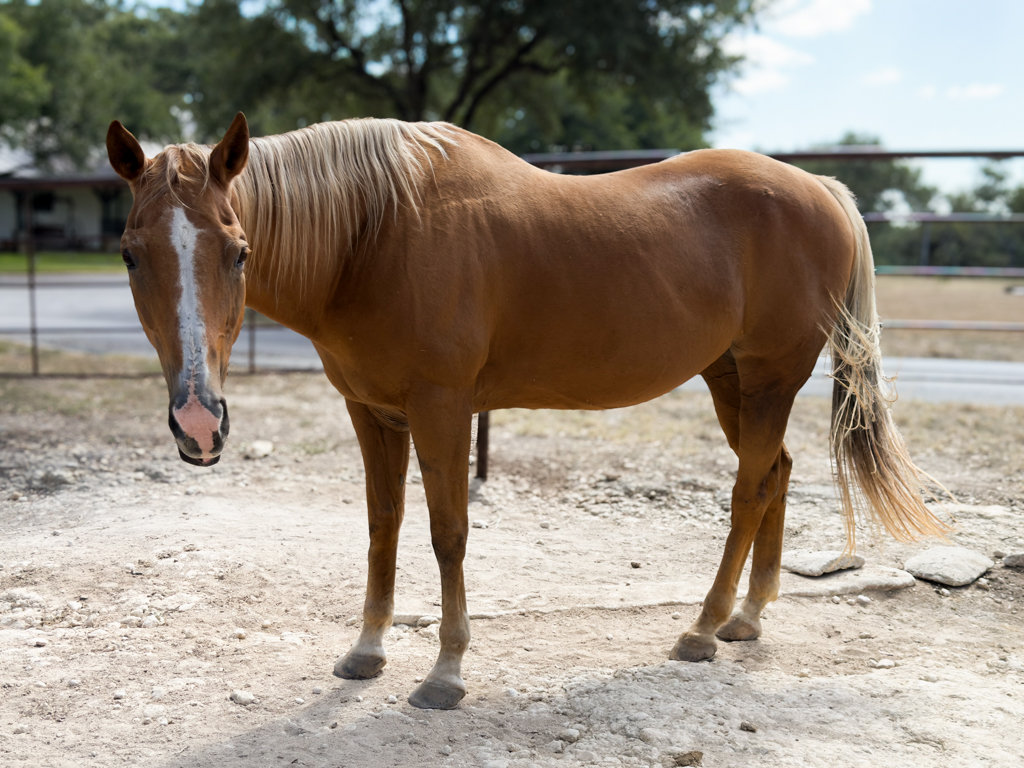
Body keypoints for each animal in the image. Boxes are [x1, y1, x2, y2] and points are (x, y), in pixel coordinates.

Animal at [108, 112, 946, 708]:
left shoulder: (442, 409)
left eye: (238, 251)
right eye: (129, 254)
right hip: (730, 378)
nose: (199, 423)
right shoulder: (373, 413)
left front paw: (445, 673)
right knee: (775, 473)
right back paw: (748, 618)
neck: (374, 236)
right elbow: (384, 528)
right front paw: (367, 652)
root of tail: (822, 190)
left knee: (747, 491)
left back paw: (703, 629)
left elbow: (447, 535)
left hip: (771, 377)